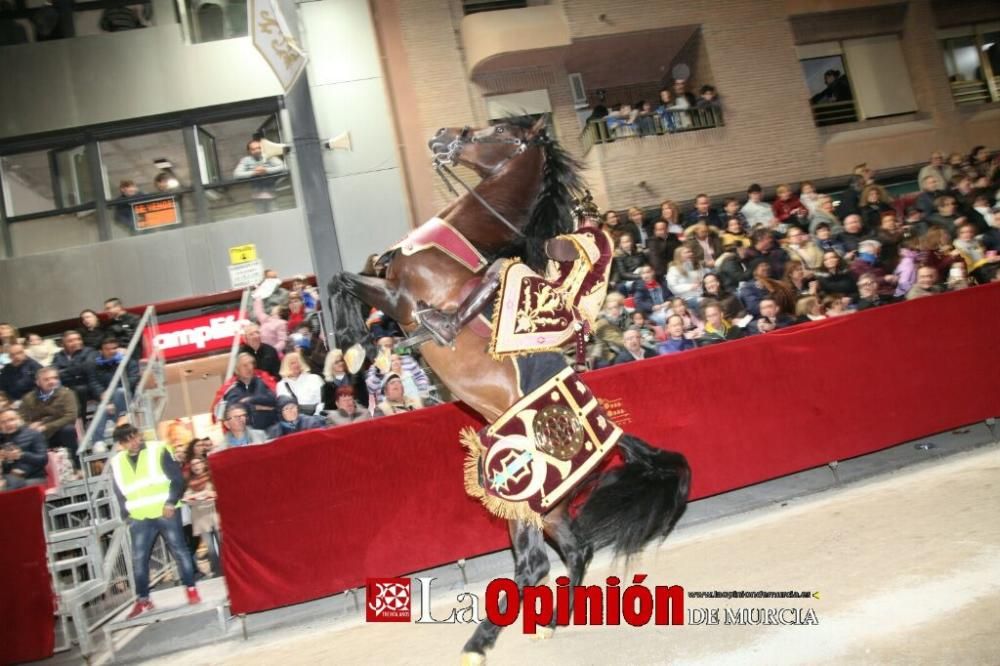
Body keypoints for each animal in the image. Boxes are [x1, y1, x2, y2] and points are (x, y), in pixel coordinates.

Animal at [328, 116, 688, 660]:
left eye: (491, 131)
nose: (441, 135)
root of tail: (611, 436)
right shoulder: (387, 284)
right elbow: (346, 277)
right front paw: (352, 348)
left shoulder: (398, 296)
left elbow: (342, 280)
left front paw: (353, 344)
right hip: (547, 506)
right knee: (575, 547)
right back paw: (551, 622)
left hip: (524, 492)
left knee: (535, 563)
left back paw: (479, 643)